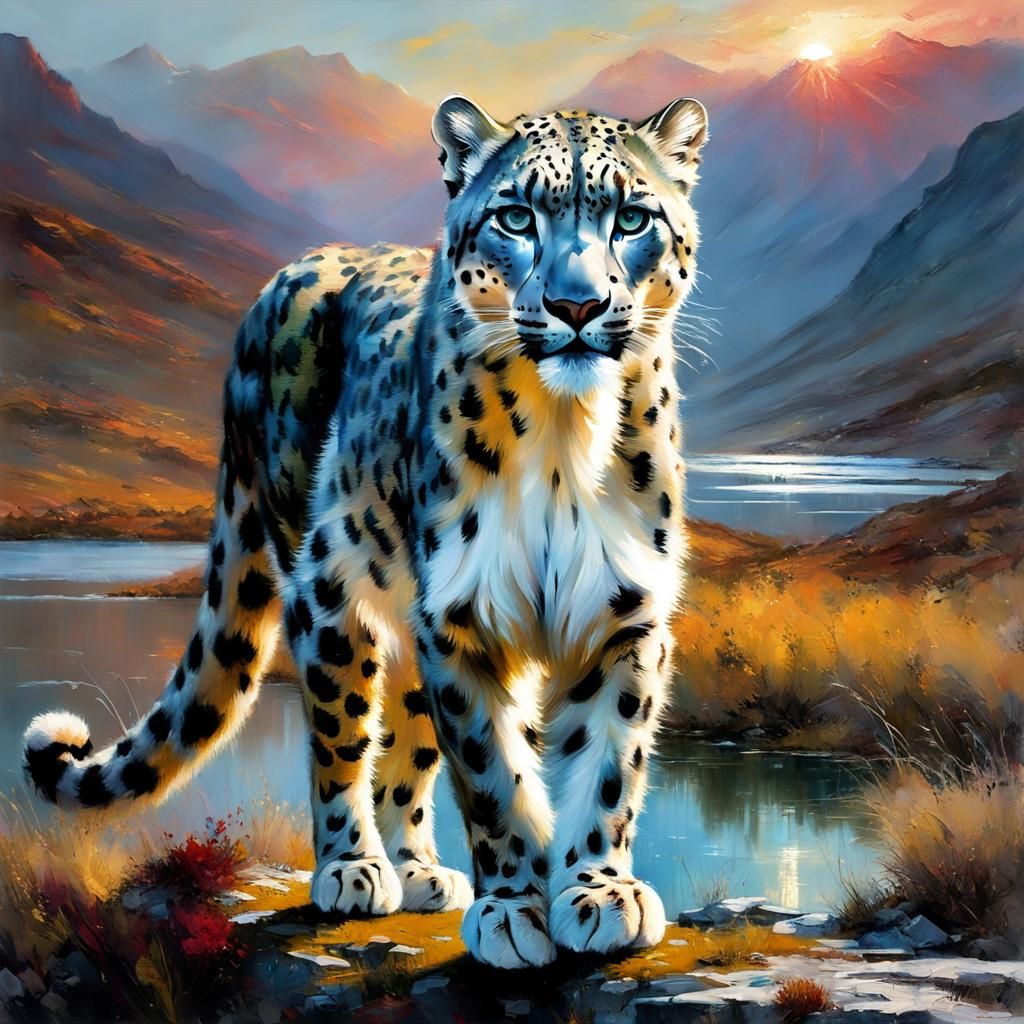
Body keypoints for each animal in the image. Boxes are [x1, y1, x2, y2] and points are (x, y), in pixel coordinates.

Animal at [23, 94, 709, 968]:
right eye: (516, 217)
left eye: (631, 217)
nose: (578, 306)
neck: (565, 435)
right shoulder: (461, 617)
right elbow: (491, 774)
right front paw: (511, 909)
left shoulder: (625, 611)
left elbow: (610, 763)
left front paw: (598, 893)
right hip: (328, 586)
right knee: (341, 734)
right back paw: (354, 867)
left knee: (408, 740)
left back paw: (419, 869)